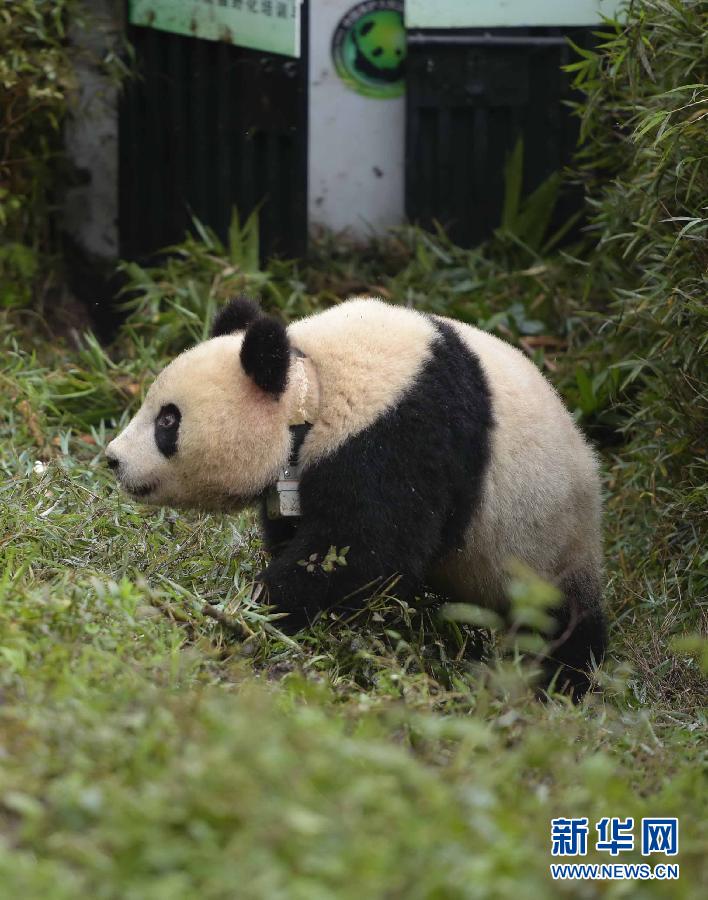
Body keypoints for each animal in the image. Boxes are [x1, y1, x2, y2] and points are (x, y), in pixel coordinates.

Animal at [108, 298, 604, 700]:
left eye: (168, 421)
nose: (113, 458)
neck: (312, 383)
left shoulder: (402, 436)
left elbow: (362, 553)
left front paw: (256, 609)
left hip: (544, 544)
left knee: (561, 625)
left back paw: (561, 684)